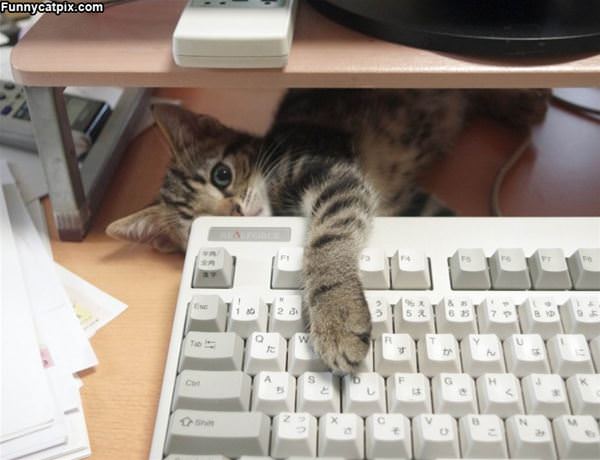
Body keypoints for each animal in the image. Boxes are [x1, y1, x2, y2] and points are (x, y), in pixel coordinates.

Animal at [106, 90, 548, 374]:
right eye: (193, 224)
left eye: (221, 175)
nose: (236, 213)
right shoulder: (403, 201)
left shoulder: (332, 172)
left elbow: (326, 238)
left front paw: (336, 318)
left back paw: (525, 100)